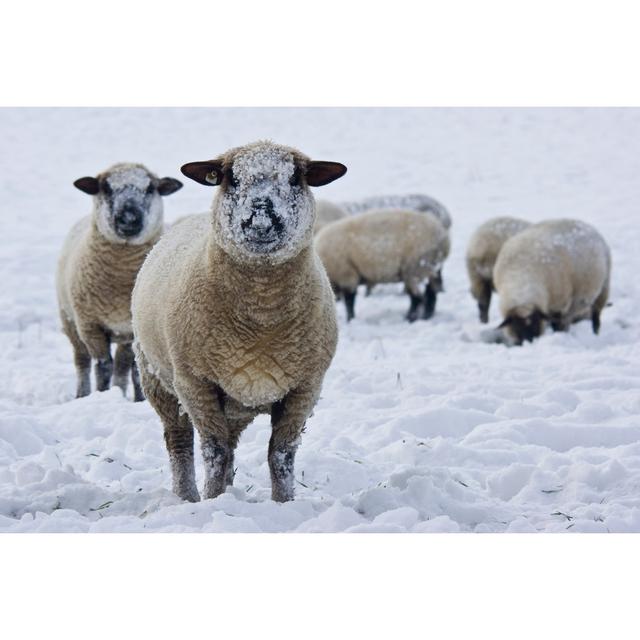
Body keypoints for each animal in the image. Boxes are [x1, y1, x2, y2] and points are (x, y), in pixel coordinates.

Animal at [55, 160, 182, 400]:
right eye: (105, 188)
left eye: (150, 188)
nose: (129, 218)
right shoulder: (90, 326)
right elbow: (103, 365)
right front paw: (101, 394)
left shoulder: (131, 330)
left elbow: (132, 369)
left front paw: (138, 399)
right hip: (70, 321)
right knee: (82, 362)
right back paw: (83, 394)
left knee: (122, 367)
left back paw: (120, 393)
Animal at [130, 141, 348, 504]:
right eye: (230, 178)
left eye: (295, 178)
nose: (260, 214)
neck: (262, 312)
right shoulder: (196, 383)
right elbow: (214, 452)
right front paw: (212, 501)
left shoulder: (305, 387)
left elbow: (281, 453)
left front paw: (283, 502)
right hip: (157, 379)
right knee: (180, 440)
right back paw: (187, 496)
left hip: (235, 401)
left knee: (231, 443)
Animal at [316, 209, 450, 322]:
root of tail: (444, 239)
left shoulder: (347, 275)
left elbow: (349, 301)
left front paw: (350, 319)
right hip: (432, 267)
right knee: (431, 293)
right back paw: (427, 316)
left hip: (415, 267)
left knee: (417, 297)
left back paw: (410, 318)